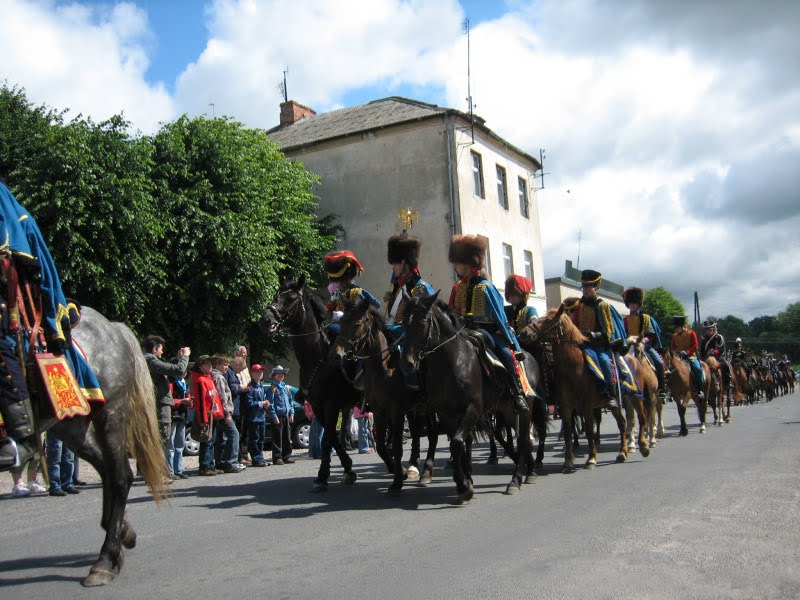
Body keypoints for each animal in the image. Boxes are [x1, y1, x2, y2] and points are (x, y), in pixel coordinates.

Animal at [262, 278, 360, 490]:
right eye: (276, 295)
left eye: (291, 298)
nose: (265, 320)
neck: (317, 359)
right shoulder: (317, 407)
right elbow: (331, 438)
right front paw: (347, 468)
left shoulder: (331, 405)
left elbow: (327, 440)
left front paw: (323, 476)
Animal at [520, 304, 648, 474]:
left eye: (547, 320)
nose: (524, 333)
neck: (574, 368)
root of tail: (635, 360)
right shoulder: (566, 406)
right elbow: (568, 432)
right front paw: (568, 462)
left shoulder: (586, 406)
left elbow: (589, 431)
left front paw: (591, 459)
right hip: (614, 404)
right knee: (622, 423)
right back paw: (622, 453)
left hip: (635, 396)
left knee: (642, 417)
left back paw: (644, 447)